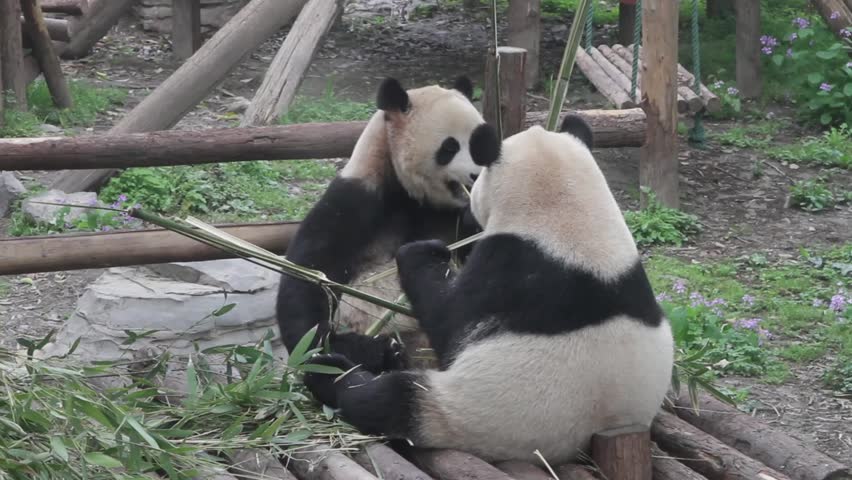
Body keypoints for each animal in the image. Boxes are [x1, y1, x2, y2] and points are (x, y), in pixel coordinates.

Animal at [278, 76, 486, 376]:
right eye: (450, 147)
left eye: (483, 142)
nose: (477, 175)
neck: (408, 192)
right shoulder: (354, 202)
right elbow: (308, 280)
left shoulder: (449, 216)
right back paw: (384, 353)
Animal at [302, 114, 676, 464]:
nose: (468, 206)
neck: (570, 210)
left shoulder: (510, 270)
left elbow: (449, 322)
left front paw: (422, 252)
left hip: (464, 414)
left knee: (386, 399)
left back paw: (332, 371)